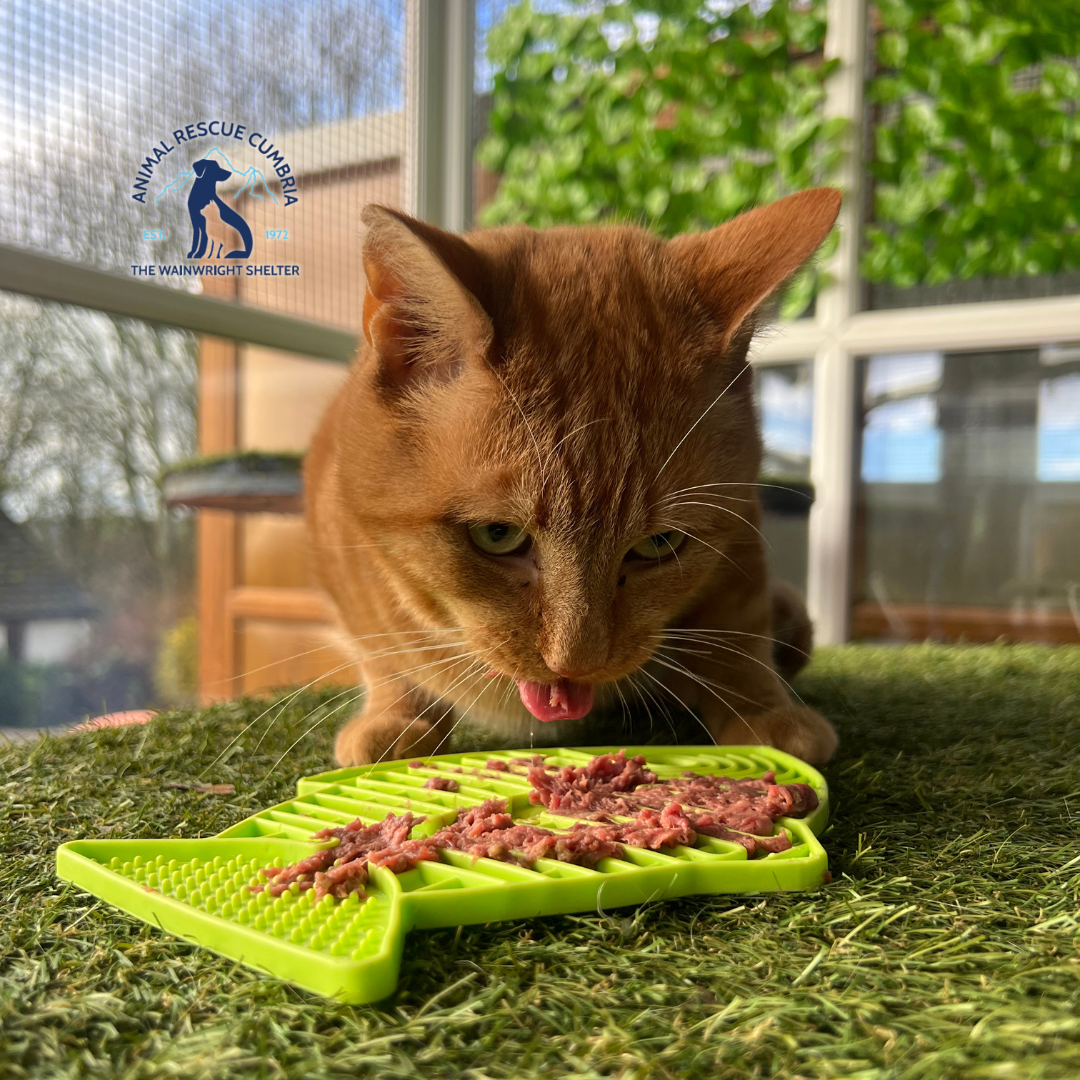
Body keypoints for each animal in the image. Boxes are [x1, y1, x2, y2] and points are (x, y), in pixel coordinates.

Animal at [308, 187, 838, 768]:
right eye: (497, 535)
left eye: (659, 543)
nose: (574, 662)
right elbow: (383, 654)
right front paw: (398, 714)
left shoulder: (741, 535)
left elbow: (740, 635)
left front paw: (762, 710)